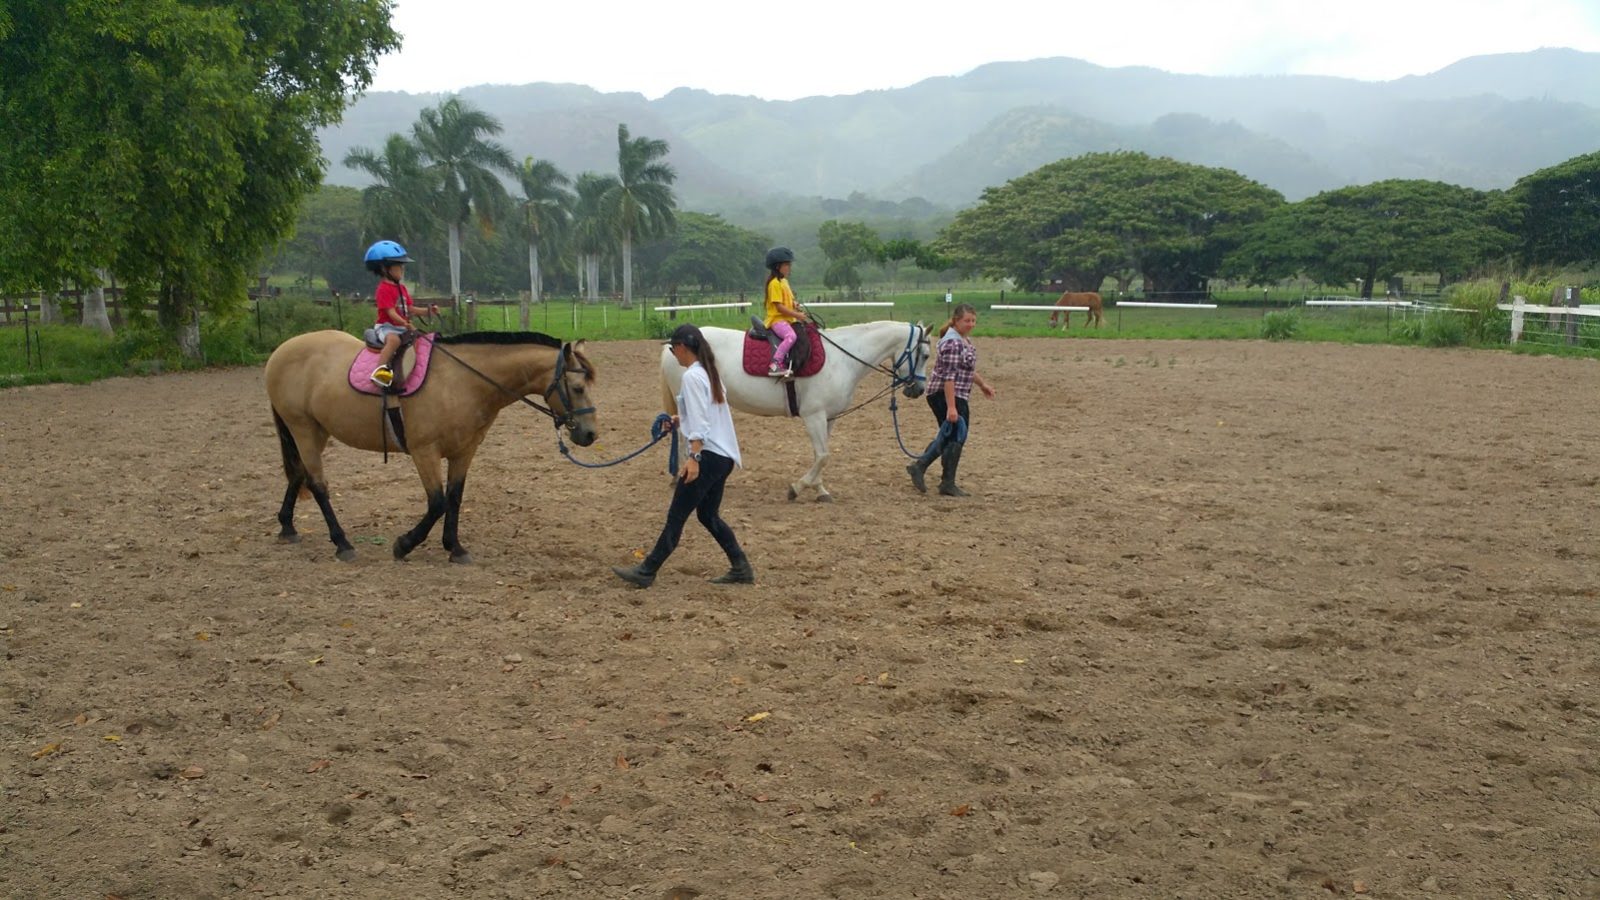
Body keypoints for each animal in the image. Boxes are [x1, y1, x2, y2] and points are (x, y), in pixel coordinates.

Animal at [265, 329, 598, 560]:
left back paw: (287, 527)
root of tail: (281, 351)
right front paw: (404, 544)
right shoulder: (424, 452)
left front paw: (455, 547)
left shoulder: (464, 451)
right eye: (577, 387)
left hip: (316, 431)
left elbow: (454, 497)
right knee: (318, 484)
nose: (590, 434)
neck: (461, 381)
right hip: (302, 428)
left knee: (298, 473)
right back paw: (342, 543)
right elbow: (437, 502)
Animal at [656, 318, 934, 499]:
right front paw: (798, 487)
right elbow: (823, 455)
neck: (841, 358)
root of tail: (672, 346)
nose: (918, 390)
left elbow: (821, 454)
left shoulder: (828, 418)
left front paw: (820, 490)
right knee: (684, 439)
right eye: (925, 355)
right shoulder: (814, 416)